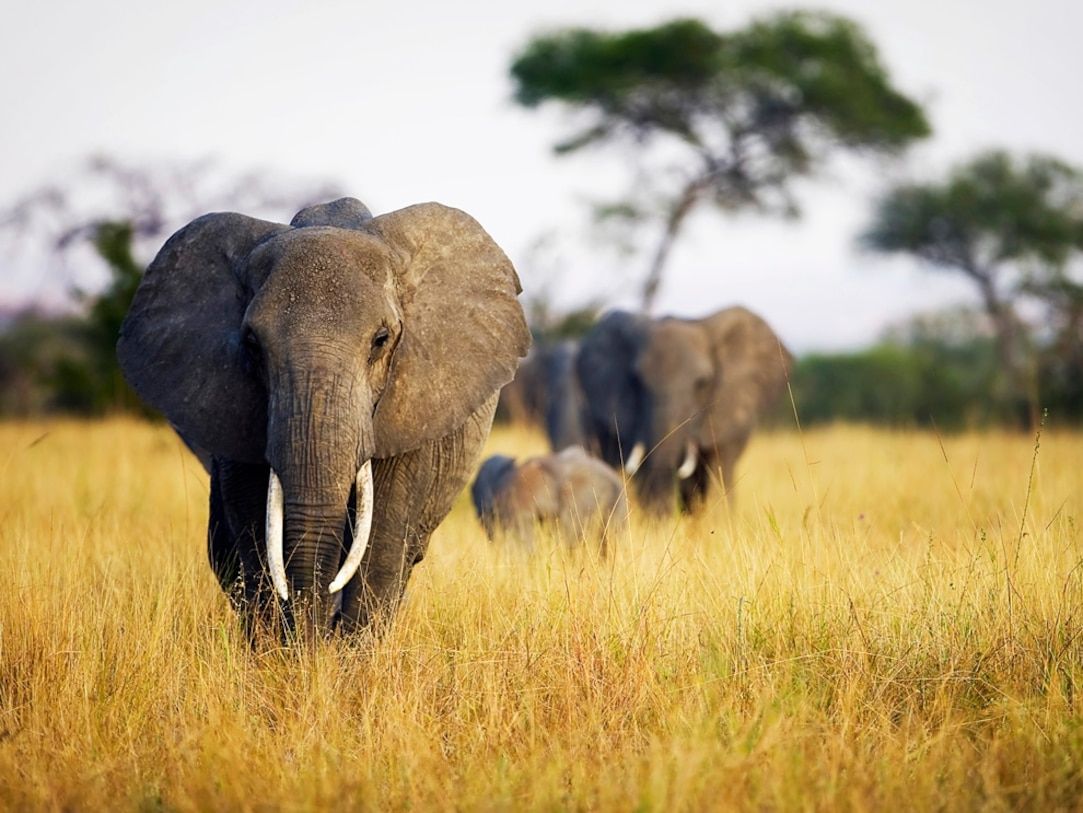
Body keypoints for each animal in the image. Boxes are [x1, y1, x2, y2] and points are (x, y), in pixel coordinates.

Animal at [117, 197, 530, 641]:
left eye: (381, 340)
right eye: (252, 344)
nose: (316, 639)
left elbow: (382, 541)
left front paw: (347, 655)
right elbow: (254, 528)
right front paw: (281, 652)